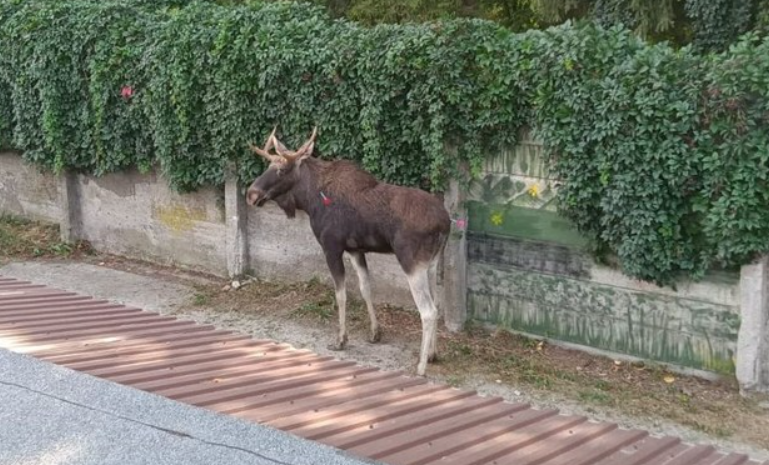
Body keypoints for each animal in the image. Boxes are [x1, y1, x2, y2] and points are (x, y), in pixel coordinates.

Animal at [246, 128, 450, 376]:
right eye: (267, 166)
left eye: (281, 169)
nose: (251, 194)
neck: (310, 199)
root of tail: (446, 223)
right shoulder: (355, 250)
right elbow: (365, 288)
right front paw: (375, 332)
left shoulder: (331, 246)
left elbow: (341, 294)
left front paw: (341, 339)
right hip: (432, 263)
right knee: (437, 305)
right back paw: (432, 354)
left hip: (411, 262)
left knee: (428, 311)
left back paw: (420, 366)